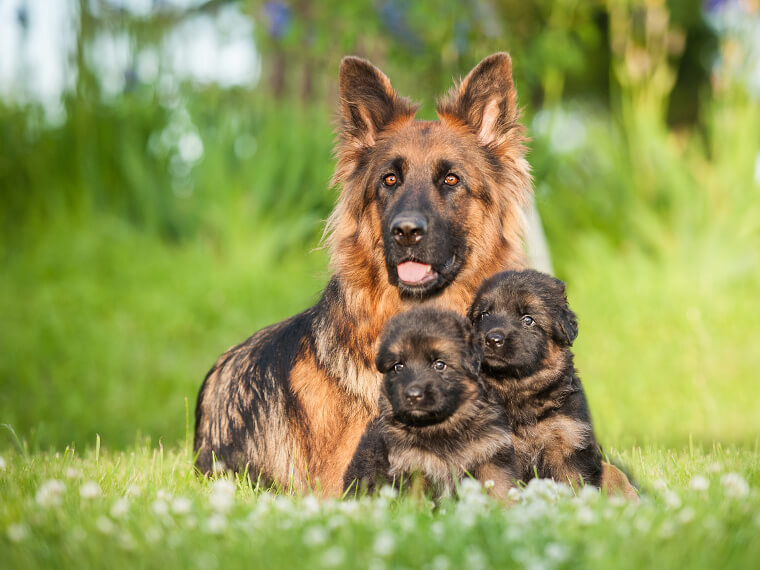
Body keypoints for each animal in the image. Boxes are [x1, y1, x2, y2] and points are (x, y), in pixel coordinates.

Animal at [342, 306, 516, 496]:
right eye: (398, 366)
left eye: (439, 365)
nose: (413, 395)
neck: (442, 427)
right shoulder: (411, 465)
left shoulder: (490, 454)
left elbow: (500, 487)